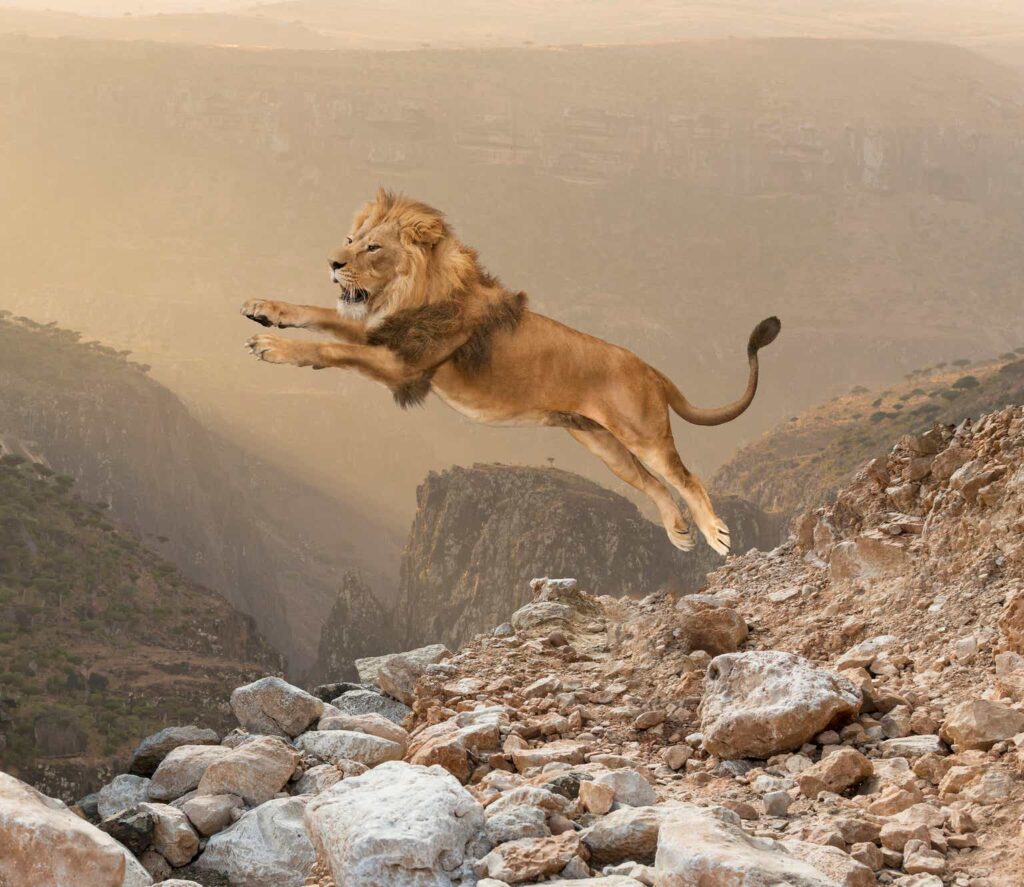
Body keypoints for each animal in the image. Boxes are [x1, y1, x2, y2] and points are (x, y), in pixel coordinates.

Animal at [243, 189, 780, 555]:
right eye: (352, 240)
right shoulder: (384, 335)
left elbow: (327, 347)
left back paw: (714, 533)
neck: (413, 292)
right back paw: (680, 533)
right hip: (602, 444)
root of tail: (649, 367)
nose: (332, 263)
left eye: (373, 248)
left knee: (685, 477)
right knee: (653, 485)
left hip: (642, 433)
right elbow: (318, 314)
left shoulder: (402, 365)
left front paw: (272, 346)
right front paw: (263, 309)